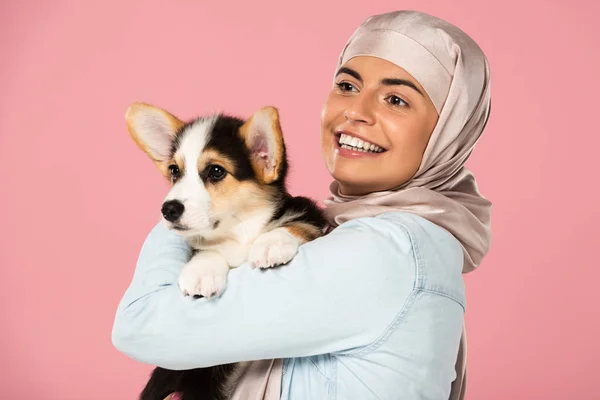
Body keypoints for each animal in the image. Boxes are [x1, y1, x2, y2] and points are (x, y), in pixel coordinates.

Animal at [123, 104, 326, 400]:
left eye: (216, 171)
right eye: (174, 171)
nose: (168, 209)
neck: (238, 230)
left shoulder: (312, 216)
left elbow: (296, 224)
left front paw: (270, 244)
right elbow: (205, 250)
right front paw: (201, 272)